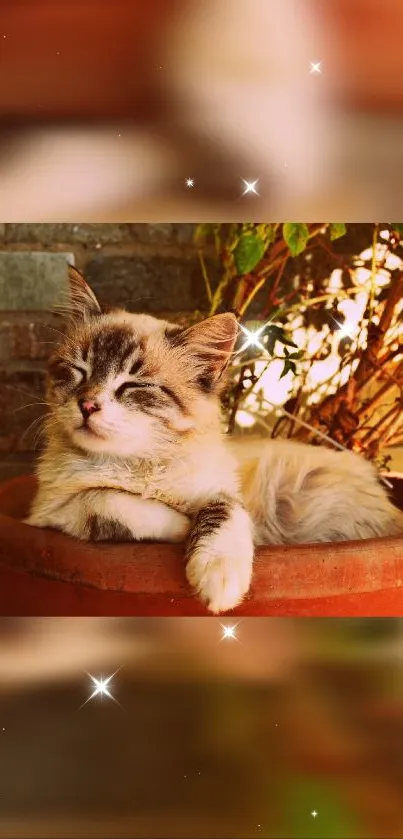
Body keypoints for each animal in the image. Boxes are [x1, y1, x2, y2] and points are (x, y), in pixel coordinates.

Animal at [27, 272, 403, 612]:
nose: (87, 405)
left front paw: (219, 580)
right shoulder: (54, 510)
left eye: (133, 385)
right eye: (80, 371)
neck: (138, 462)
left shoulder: (221, 490)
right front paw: (183, 528)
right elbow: (108, 499)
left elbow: (224, 513)